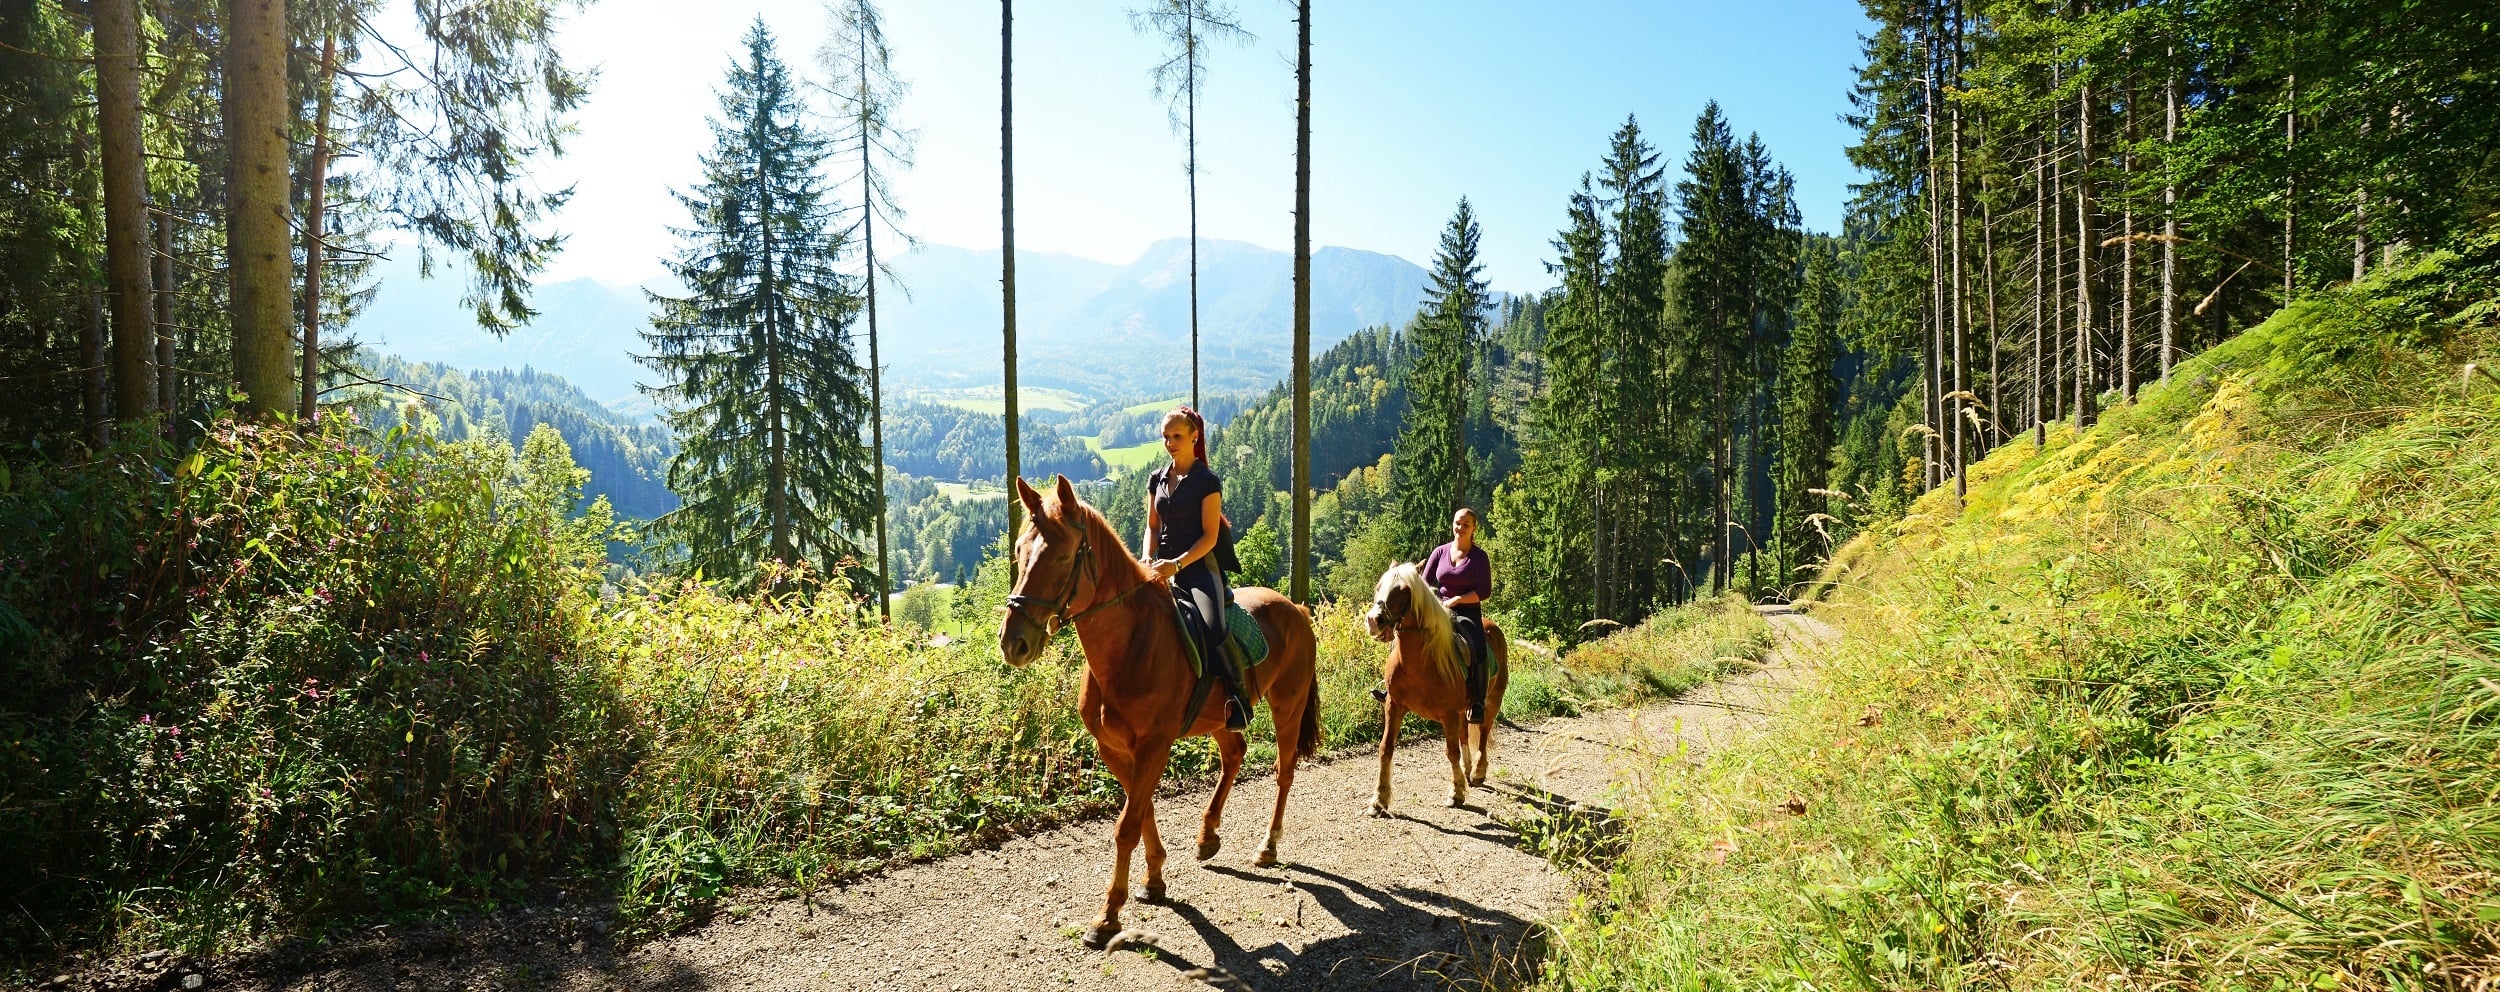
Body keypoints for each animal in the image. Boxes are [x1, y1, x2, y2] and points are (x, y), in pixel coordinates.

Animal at [990, 474, 1330, 944]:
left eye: (1060, 556)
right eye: (1020, 552)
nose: (1014, 642)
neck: (1131, 644)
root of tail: (1295, 608)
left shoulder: (1154, 745)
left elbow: (1127, 826)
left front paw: (1108, 915)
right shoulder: (1115, 749)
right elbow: (1141, 809)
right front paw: (1153, 881)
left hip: (1288, 706)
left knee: (1284, 770)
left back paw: (1267, 846)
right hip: (1220, 716)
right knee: (1234, 754)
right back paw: (1208, 837)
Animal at [1360, 559, 1510, 814]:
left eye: (1403, 591)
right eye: (1378, 587)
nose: (1374, 620)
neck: (1420, 660)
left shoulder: (1447, 713)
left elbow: (1451, 752)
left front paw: (1456, 794)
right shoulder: (1393, 705)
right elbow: (1385, 748)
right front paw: (1379, 799)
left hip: (1492, 700)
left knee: (1483, 732)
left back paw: (1478, 772)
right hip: (1463, 710)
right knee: (1464, 735)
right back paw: (1468, 770)